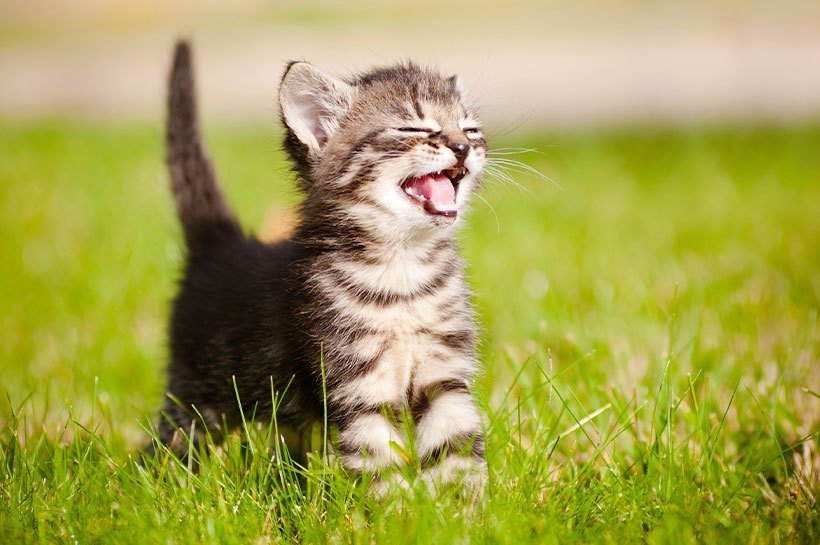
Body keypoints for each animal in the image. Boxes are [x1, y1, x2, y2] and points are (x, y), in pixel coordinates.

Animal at [154, 39, 486, 488]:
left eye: (470, 129)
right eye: (413, 129)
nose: (463, 147)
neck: (402, 268)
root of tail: (222, 244)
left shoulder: (445, 374)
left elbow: (457, 448)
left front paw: (461, 506)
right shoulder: (356, 382)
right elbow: (378, 460)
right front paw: (396, 506)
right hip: (196, 395)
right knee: (170, 444)